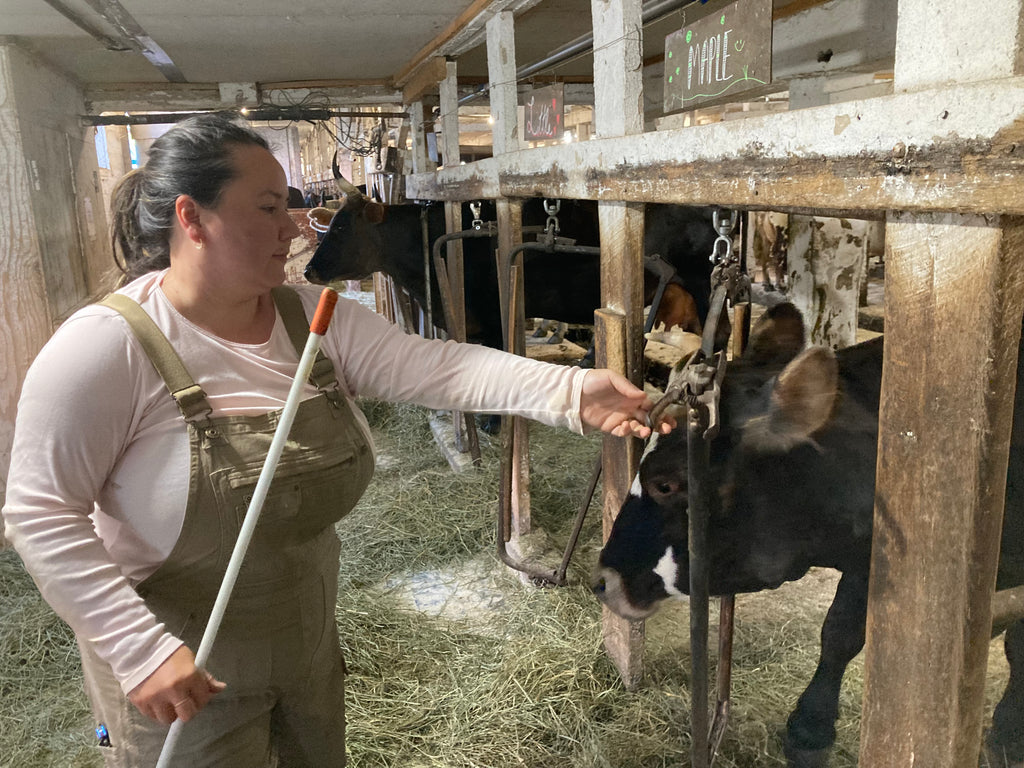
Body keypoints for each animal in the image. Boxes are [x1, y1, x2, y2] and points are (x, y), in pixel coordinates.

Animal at [593, 303, 1024, 768]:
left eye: (667, 484)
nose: (602, 580)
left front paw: (1006, 734)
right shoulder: (866, 557)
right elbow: (839, 631)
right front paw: (809, 730)